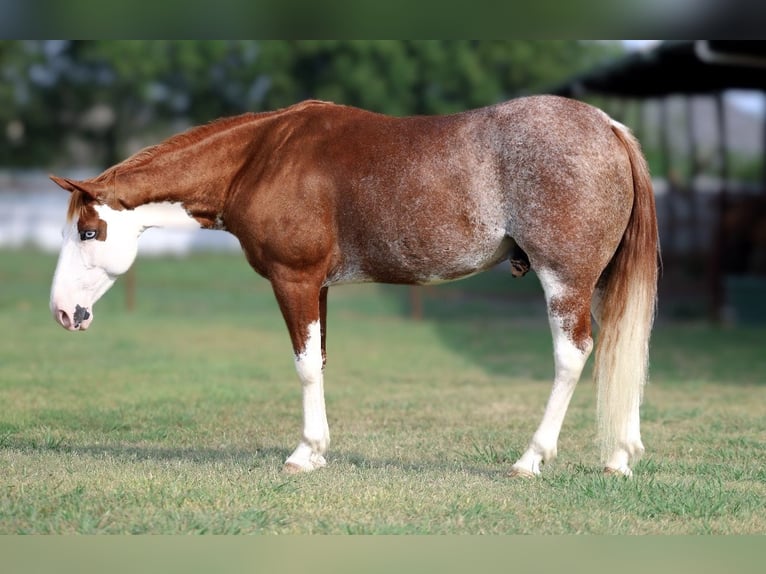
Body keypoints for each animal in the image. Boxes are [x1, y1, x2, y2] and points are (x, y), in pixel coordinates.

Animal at [49, 95, 659, 478]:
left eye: (88, 231)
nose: (62, 311)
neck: (260, 158)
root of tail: (609, 127)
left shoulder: (294, 280)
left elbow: (302, 364)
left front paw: (305, 453)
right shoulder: (316, 286)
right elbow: (317, 360)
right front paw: (318, 451)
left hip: (564, 281)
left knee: (572, 356)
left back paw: (532, 459)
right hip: (599, 283)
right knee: (620, 347)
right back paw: (619, 457)